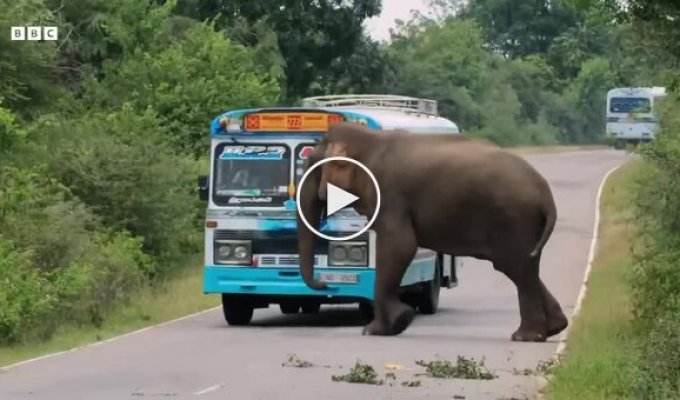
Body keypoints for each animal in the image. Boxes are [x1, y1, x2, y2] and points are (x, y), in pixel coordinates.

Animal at [298, 121, 568, 340]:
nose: (325, 285)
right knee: (522, 266)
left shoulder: (391, 195)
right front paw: (395, 322)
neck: (368, 139)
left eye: (312, 166)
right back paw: (554, 327)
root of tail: (546, 194)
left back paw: (526, 336)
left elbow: (399, 246)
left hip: (513, 218)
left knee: (516, 266)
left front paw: (383, 328)